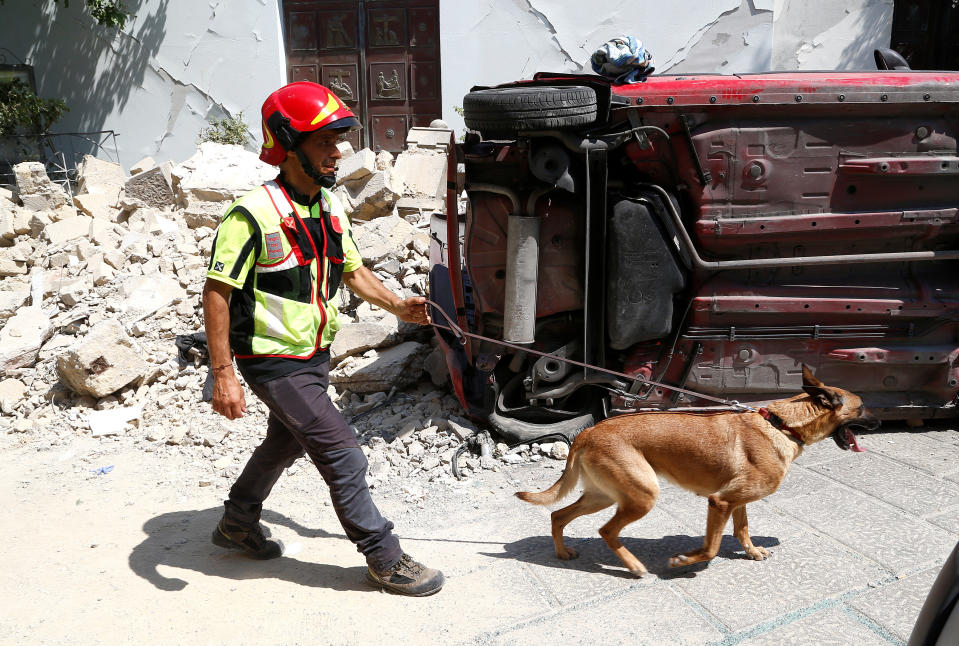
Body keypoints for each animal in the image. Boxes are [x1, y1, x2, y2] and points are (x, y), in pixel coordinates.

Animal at [516, 364, 876, 576]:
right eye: (862, 407)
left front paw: (752, 551)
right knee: (606, 531)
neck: (781, 424)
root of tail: (587, 432)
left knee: (558, 515)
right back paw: (634, 567)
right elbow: (711, 548)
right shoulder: (719, 502)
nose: (879, 421)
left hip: (603, 496)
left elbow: (742, 530)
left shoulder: (736, 502)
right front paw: (685, 560)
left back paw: (562, 553)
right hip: (641, 496)